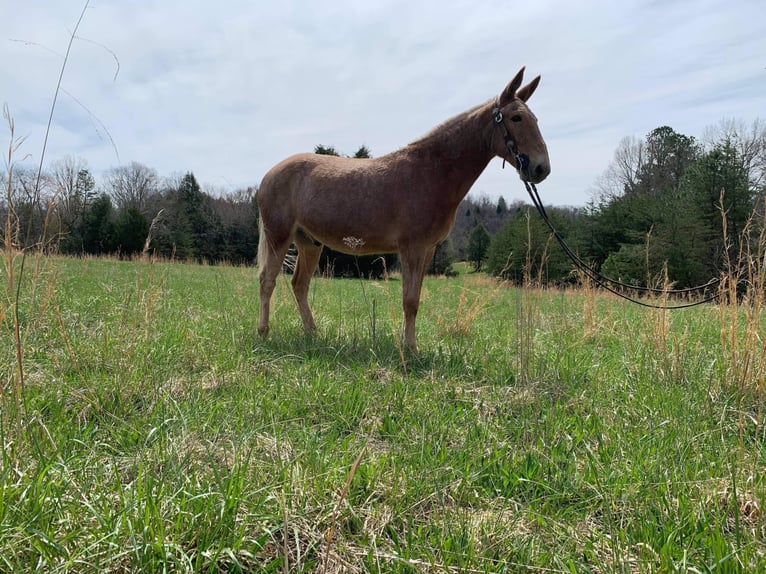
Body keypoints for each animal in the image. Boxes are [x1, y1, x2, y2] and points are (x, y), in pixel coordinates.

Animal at [258, 70, 552, 354]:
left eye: (535, 119)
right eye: (516, 117)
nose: (541, 169)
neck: (431, 171)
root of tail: (270, 173)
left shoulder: (427, 249)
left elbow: (416, 298)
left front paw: (408, 344)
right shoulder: (412, 247)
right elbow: (409, 300)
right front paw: (410, 349)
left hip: (309, 242)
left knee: (299, 284)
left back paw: (312, 333)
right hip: (279, 237)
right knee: (267, 280)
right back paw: (263, 333)